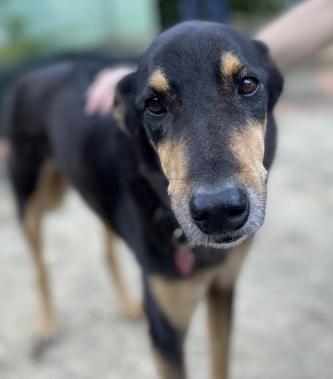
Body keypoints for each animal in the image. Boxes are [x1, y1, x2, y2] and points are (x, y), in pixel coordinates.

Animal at [5, 21, 280, 379]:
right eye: (154, 104)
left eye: (247, 84)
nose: (218, 211)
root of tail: (29, 75)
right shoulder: (165, 332)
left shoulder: (223, 290)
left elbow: (221, 362)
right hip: (33, 201)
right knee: (39, 268)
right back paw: (47, 324)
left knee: (107, 249)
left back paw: (126, 303)